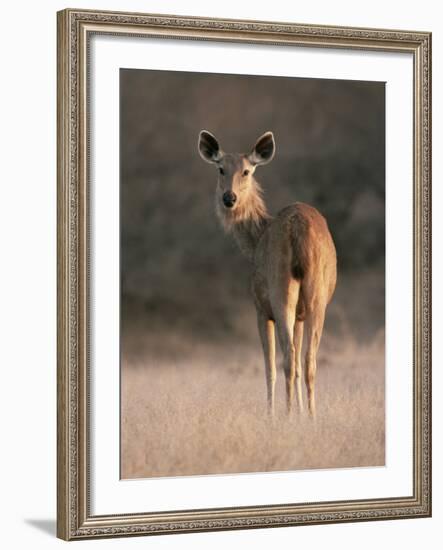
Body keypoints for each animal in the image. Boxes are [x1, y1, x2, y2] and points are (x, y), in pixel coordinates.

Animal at [198, 132, 336, 418]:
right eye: (220, 169)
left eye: (247, 171)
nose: (229, 198)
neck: (255, 240)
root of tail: (299, 229)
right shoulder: (300, 316)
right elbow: (298, 362)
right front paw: (302, 414)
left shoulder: (260, 309)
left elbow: (269, 367)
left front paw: (272, 415)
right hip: (316, 293)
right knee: (308, 360)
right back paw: (312, 416)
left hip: (279, 288)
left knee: (288, 359)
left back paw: (286, 416)